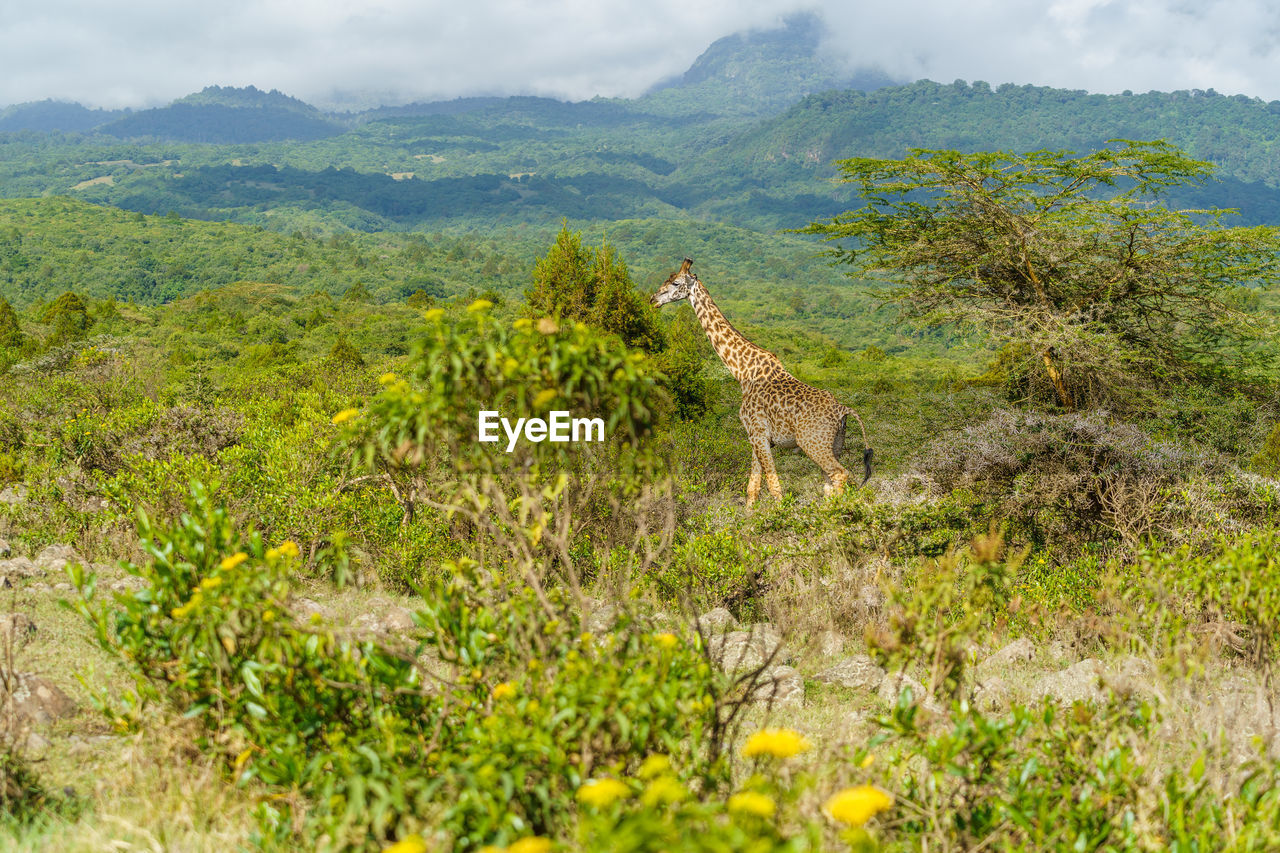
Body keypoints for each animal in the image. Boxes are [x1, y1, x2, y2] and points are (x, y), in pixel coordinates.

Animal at [650, 256, 870, 502]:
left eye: (676, 283)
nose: (653, 300)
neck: (743, 372)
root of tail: (843, 410)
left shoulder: (758, 433)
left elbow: (774, 487)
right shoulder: (756, 437)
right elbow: (752, 488)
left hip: (813, 443)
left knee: (840, 474)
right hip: (835, 444)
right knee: (830, 483)